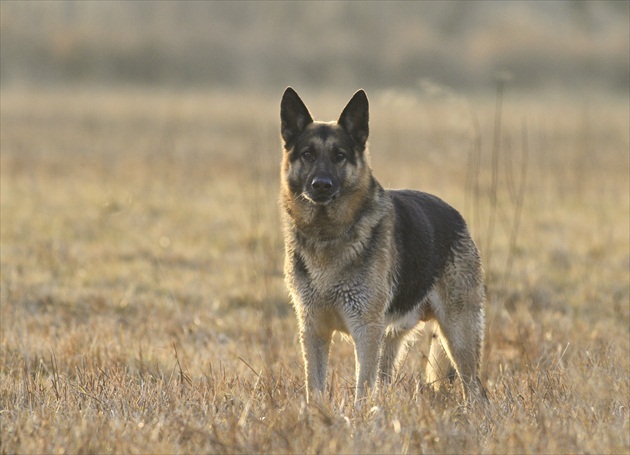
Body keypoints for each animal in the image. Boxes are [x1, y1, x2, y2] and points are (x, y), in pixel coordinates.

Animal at [282, 87, 488, 404]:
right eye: (308, 154)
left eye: (339, 156)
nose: (322, 185)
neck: (328, 235)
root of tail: (456, 216)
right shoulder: (313, 330)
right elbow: (314, 389)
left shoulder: (365, 332)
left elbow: (362, 391)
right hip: (391, 338)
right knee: (386, 381)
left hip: (459, 335)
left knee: (475, 390)